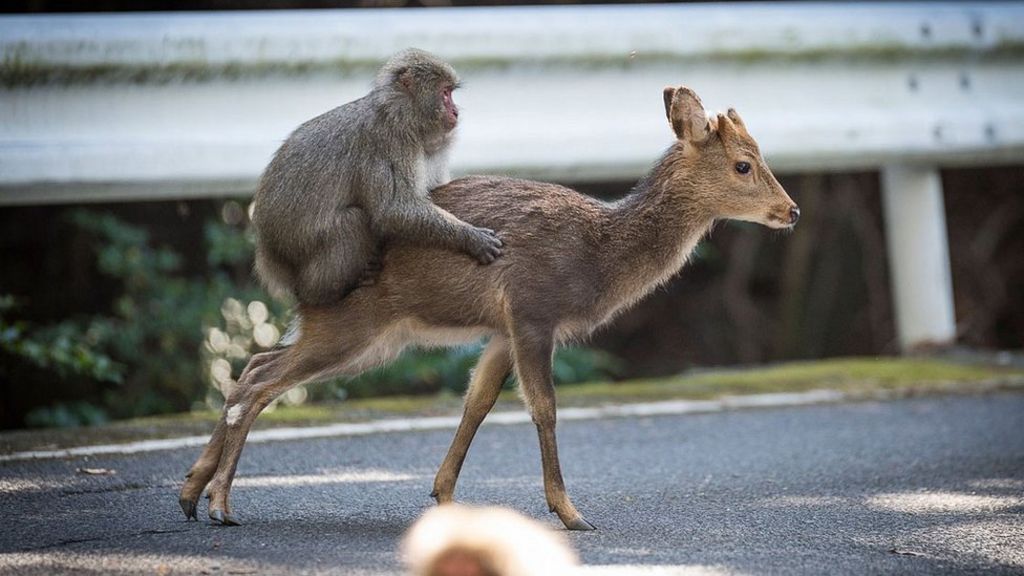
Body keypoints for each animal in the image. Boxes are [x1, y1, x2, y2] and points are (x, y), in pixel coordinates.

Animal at [178, 85, 800, 531]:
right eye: (744, 165)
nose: (791, 210)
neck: (597, 254)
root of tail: (296, 278)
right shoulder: (532, 308)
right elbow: (543, 408)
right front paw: (571, 514)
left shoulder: (502, 329)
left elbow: (476, 402)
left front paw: (445, 497)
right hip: (354, 325)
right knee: (259, 383)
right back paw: (220, 505)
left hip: (366, 337)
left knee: (252, 367)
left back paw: (190, 492)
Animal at [251, 48, 503, 306]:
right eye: (445, 93)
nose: (456, 111)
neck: (400, 114)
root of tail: (269, 254)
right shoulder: (389, 143)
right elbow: (393, 210)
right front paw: (470, 237)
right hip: (299, 249)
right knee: (352, 221)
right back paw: (323, 292)